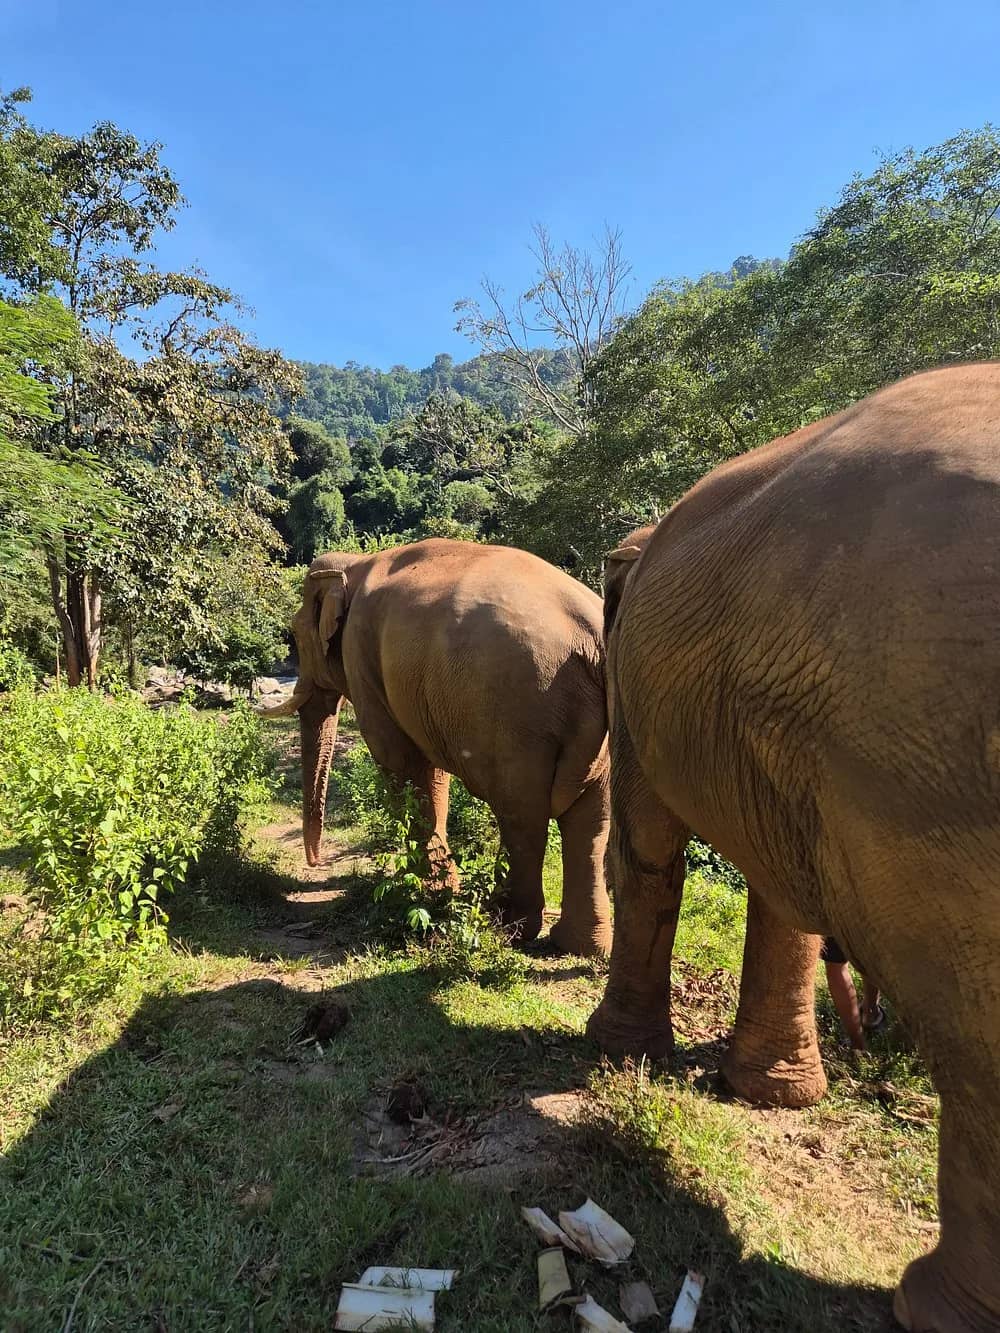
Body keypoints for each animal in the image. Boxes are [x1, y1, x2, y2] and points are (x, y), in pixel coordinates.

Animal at [265, 538, 612, 957]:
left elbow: (400, 761)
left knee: (521, 814)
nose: (315, 865)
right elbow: (430, 773)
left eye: (296, 634)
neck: (353, 563)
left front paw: (430, 894)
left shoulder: (362, 656)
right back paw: (576, 944)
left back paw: (505, 927)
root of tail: (591, 634)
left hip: (518, 715)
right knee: (592, 821)